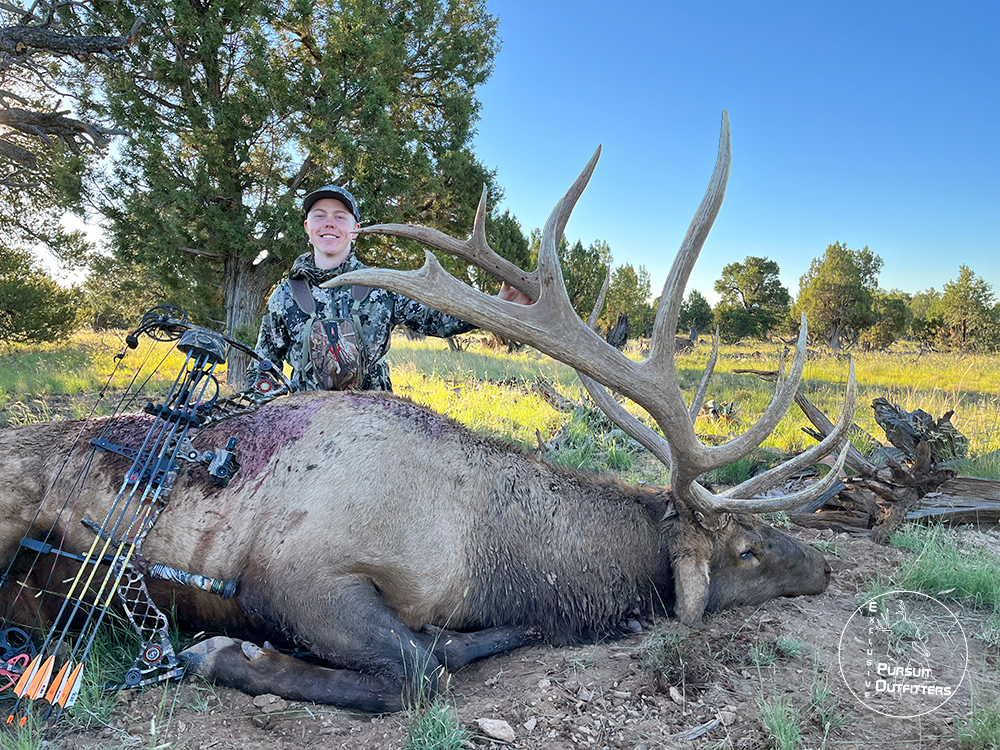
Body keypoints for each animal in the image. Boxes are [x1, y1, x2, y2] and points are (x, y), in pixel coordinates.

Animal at [3, 113, 856, 716]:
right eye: (746, 550)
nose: (824, 567)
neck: (488, 555)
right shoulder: (300, 575)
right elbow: (414, 674)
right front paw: (218, 653)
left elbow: (446, 650)